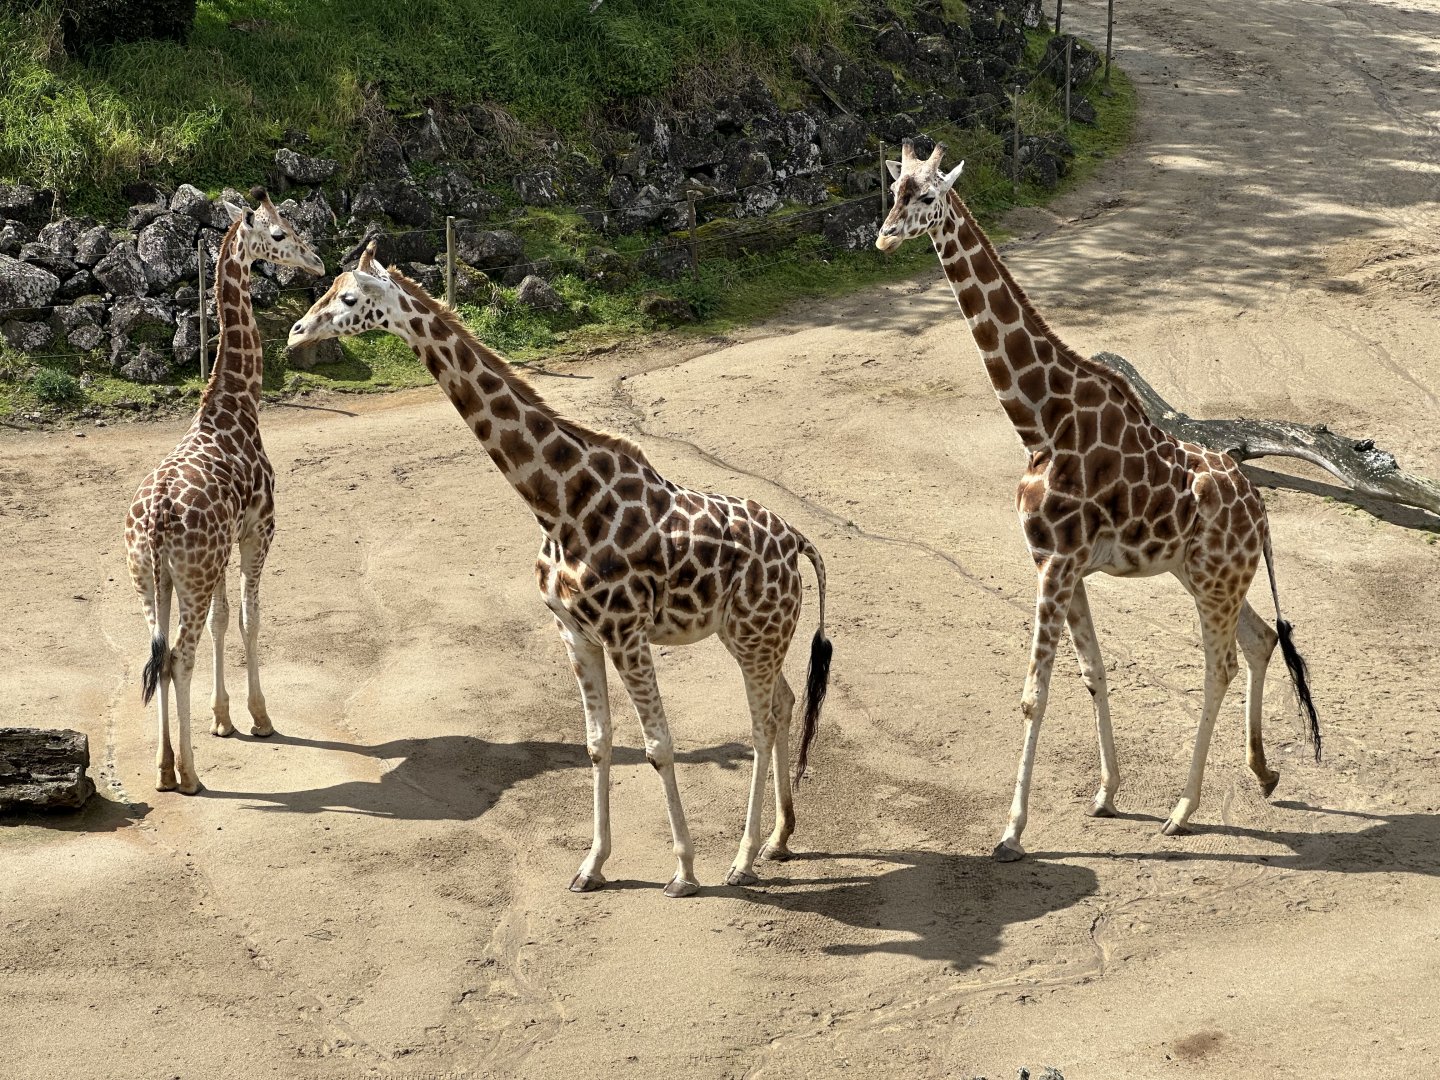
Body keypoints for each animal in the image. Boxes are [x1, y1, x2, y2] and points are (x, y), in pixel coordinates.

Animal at [125, 187, 324, 795]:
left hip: (153, 579)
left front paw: (222, 718)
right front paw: (258, 716)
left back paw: (163, 768)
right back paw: (188, 775)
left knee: (156, 655)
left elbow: (221, 619)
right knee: (176, 658)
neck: (236, 402)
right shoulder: (260, 528)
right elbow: (248, 618)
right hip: (190, 572)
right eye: (280, 235)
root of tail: (155, 521)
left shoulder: (222, 549)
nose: (317, 263)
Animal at [286, 243, 833, 897]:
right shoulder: (575, 631)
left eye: (347, 297)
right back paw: (779, 839)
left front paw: (683, 870)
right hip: (749, 634)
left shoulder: (626, 633)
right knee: (786, 702)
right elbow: (598, 745)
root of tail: (798, 540)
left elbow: (659, 745)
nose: (295, 333)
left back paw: (743, 858)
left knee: (761, 722)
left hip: (756, 633)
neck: (560, 505)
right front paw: (591, 866)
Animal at [876, 140, 1321, 860]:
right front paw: (1107, 793)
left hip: (1214, 580)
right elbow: (1094, 672)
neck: (1039, 420)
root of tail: (1261, 514)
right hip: (1209, 574)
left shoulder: (1057, 563)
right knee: (1259, 642)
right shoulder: (1060, 564)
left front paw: (1011, 831)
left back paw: (1184, 810)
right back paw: (1262, 772)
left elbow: (1034, 693)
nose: (885, 237)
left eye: (929, 196)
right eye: (890, 192)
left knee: (1221, 663)